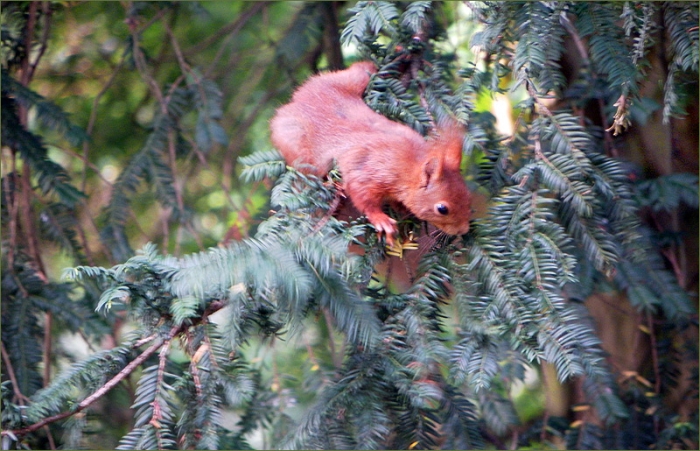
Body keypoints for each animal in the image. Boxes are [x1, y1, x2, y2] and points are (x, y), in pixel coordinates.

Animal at [270, 61, 472, 245]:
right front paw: (381, 220)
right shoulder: (369, 168)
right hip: (298, 145)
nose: (464, 230)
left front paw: (403, 210)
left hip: (351, 78)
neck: (409, 159)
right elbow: (361, 194)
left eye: (467, 194)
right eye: (442, 209)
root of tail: (300, 97)